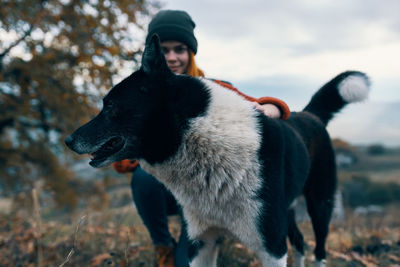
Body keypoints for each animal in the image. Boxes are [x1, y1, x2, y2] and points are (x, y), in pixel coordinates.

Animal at [65, 35, 368, 267]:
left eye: (110, 106)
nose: (68, 140)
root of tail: (311, 115)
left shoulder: (270, 246)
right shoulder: (201, 243)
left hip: (320, 204)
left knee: (319, 249)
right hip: (288, 210)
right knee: (301, 242)